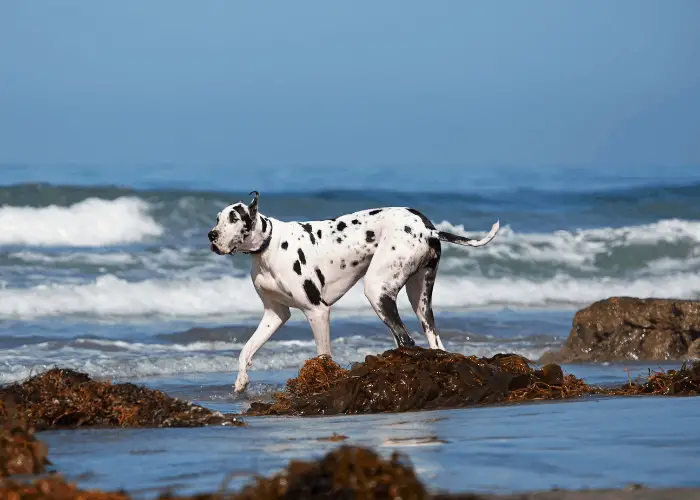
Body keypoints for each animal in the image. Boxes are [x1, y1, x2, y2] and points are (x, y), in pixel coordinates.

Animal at [208, 192, 498, 394]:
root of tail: (427, 228)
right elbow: (246, 350)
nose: (211, 235)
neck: (269, 246)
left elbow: (323, 356)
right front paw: (241, 381)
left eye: (234, 218)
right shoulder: (275, 314)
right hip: (420, 300)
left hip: (377, 290)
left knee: (405, 340)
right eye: (217, 218)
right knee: (434, 342)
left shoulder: (317, 311)